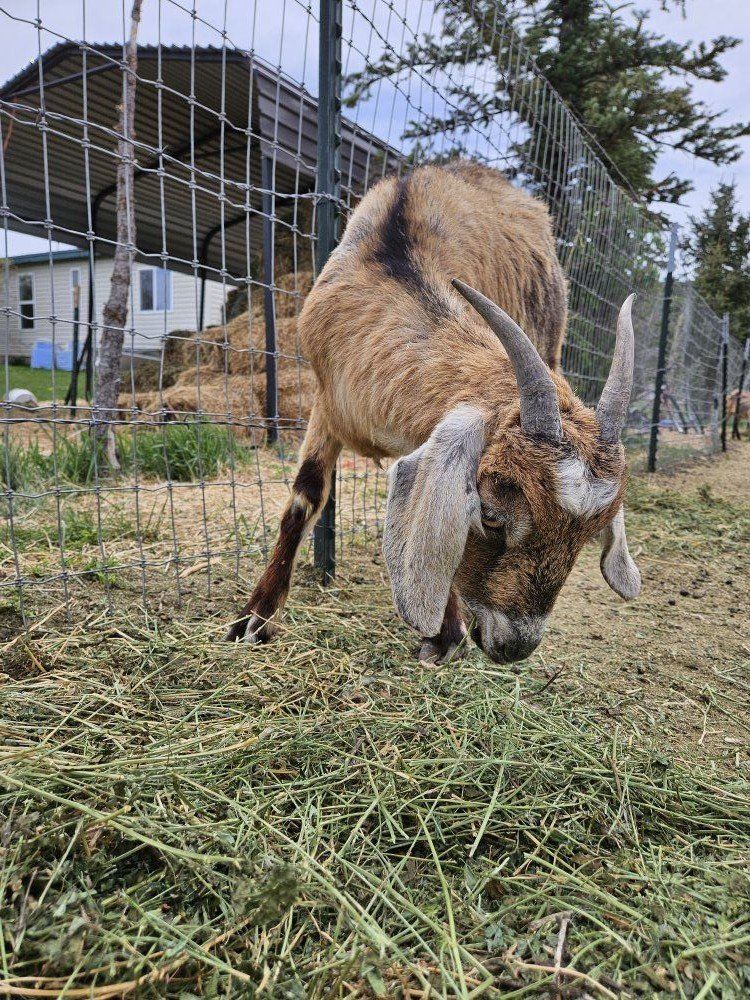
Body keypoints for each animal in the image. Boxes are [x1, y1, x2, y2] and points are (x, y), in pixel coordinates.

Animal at [226, 161, 641, 664]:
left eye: (587, 535)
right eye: (491, 516)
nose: (514, 646)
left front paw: (445, 635)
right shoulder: (327, 403)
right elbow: (304, 497)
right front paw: (255, 619)